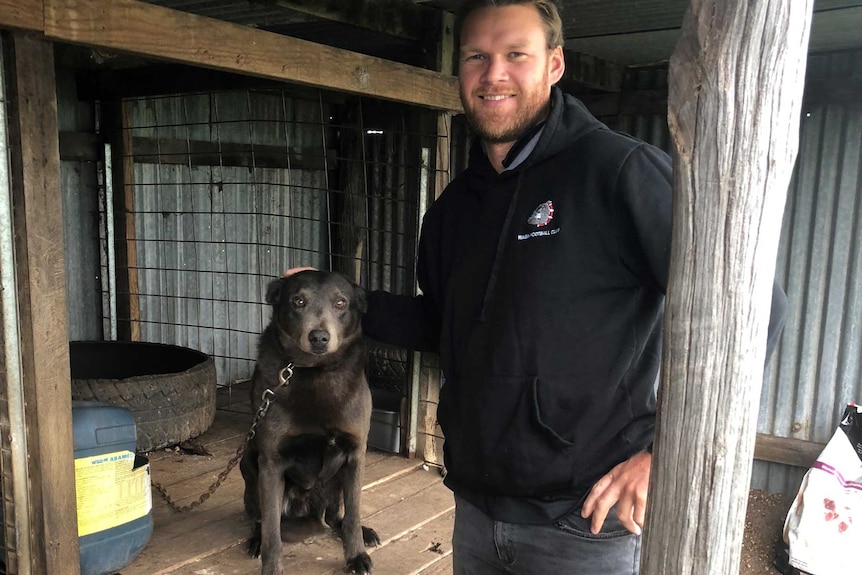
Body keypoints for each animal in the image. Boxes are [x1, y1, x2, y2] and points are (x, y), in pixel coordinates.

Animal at [241, 272, 380, 575]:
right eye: (298, 301)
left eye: (341, 303)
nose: (319, 337)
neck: (315, 372)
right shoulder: (271, 463)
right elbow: (272, 532)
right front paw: (271, 566)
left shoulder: (355, 454)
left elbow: (352, 516)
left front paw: (356, 555)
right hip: (248, 464)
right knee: (260, 519)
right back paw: (255, 540)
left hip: (336, 484)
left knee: (338, 516)